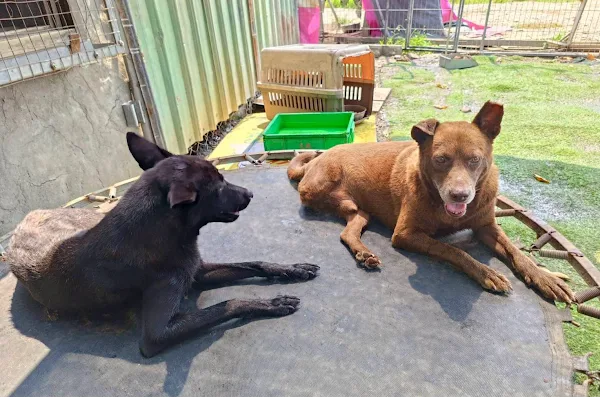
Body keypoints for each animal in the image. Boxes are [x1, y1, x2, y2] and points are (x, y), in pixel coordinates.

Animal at [8, 132, 318, 356]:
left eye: (223, 178)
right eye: (218, 188)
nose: (250, 193)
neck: (162, 233)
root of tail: (26, 219)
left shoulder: (198, 272)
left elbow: (255, 262)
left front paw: (292, 269)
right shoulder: (157, 334)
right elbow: (229, 303)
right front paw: (273, 302)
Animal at [288, 100, 576, 302]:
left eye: (475, 159)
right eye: (441, 159)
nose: (460, 195)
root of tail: (316, 159)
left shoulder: (487, 227)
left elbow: (515, 251)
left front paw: (544, 277)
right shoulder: (405, 234)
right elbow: (452, 250)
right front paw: (486, 272)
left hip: (361, 213)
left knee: (348, 232)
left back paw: (364, 253)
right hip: (324, 190)